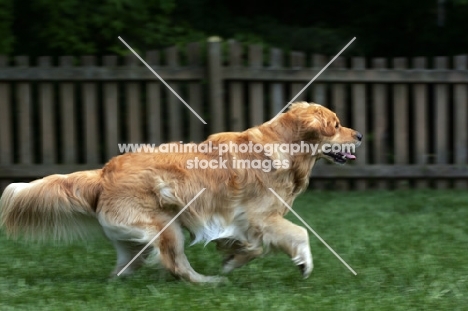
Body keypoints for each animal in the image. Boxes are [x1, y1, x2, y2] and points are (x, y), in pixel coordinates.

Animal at [0, 102, 362, 282]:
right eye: (336, 125)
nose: (359, 135)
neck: (285, 146)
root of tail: (103, 173)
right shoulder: (260, 216)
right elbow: (300, 233)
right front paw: (304, 265)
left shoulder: (245, 223)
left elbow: (253, 247)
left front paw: (233, 258)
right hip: (167, 227)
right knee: (177, 266)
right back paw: (207, 282)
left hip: (137, 237)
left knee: (125, 267)